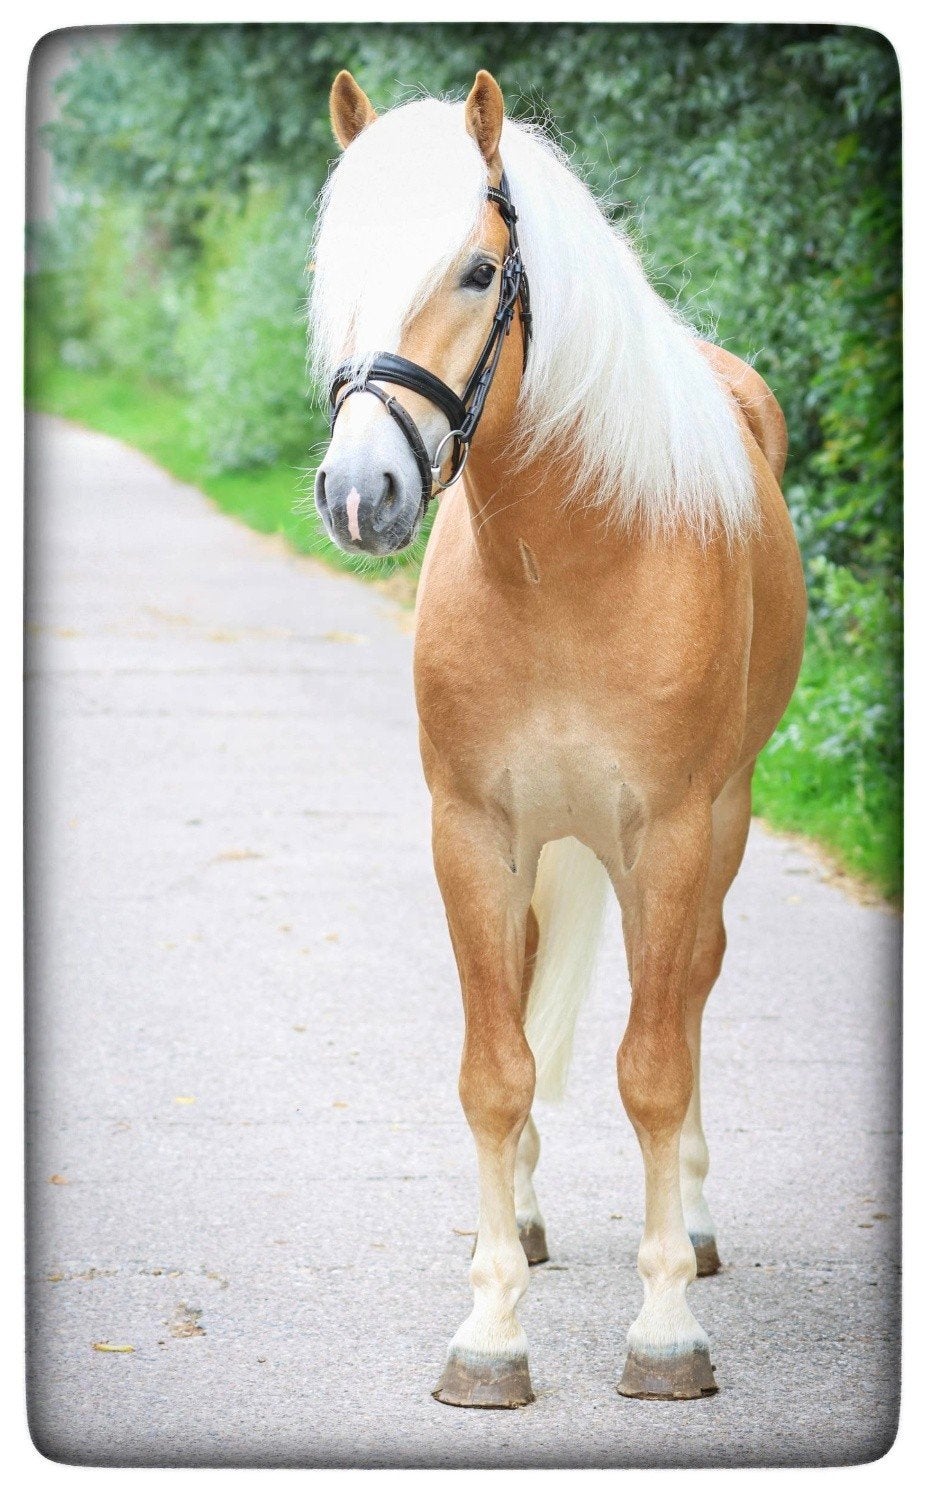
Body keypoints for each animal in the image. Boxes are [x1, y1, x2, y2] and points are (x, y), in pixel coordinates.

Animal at [310, 68, 806, 1408]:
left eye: (479, 272)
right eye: (329, 269)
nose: (359, 493)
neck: (573, 561)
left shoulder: (674, 835)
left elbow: (653, 1065)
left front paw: (666, 1330)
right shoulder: (473, 835)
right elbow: (496, 1067)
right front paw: (489, 1333)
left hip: (710, 832)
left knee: (685, 997)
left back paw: (691, 1227)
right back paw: (528, 1220)